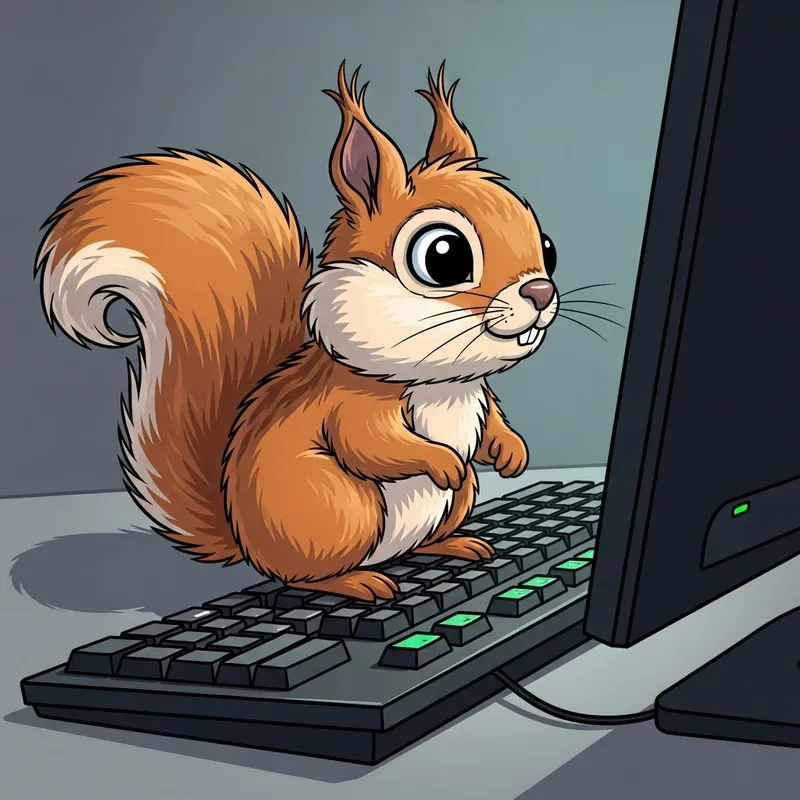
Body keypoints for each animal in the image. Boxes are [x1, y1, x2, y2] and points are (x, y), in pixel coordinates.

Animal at [34, 64, 559, 601]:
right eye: (444, 257)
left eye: (548, 247)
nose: (541, 292)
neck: (443, 383)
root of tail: (247, 543)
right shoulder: (351, 405)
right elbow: (372, 445)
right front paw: (442, 460)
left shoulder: (478, 397)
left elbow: (492, 421)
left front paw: (512, 451)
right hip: (338, 508)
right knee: (303, 575)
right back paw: (357, 580)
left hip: (451, 503)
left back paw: (455, 544)